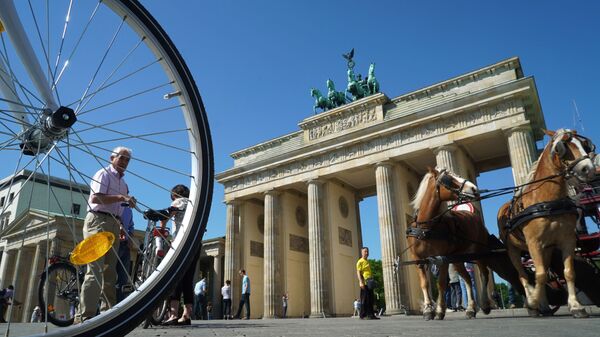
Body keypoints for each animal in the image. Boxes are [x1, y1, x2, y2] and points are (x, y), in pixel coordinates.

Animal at [408, 167, 492, 318]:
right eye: (448, 179)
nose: (474, 188)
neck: (425, 228)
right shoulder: (418, 259)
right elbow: (424, 283)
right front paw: (428, 309)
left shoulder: (442, 258)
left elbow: (441, 284)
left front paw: (440, 310)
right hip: (458, 259)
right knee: (467, 278)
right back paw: (470, 308)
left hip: (479, 252)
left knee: (484, 274)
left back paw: (485, 305)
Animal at [496, 129, 596, 318]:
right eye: (560, 148)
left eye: (585, 145)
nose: (589, 169)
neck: (548, 201)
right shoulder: (533, 242)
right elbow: (540, 275)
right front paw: (533, 302)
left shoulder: (567, 240)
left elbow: (568, 273)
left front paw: (575, 306)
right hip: (513, 250)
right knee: (523, 275)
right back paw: (533, 303)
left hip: (546, 248)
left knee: (542, 273)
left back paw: (543, 305)